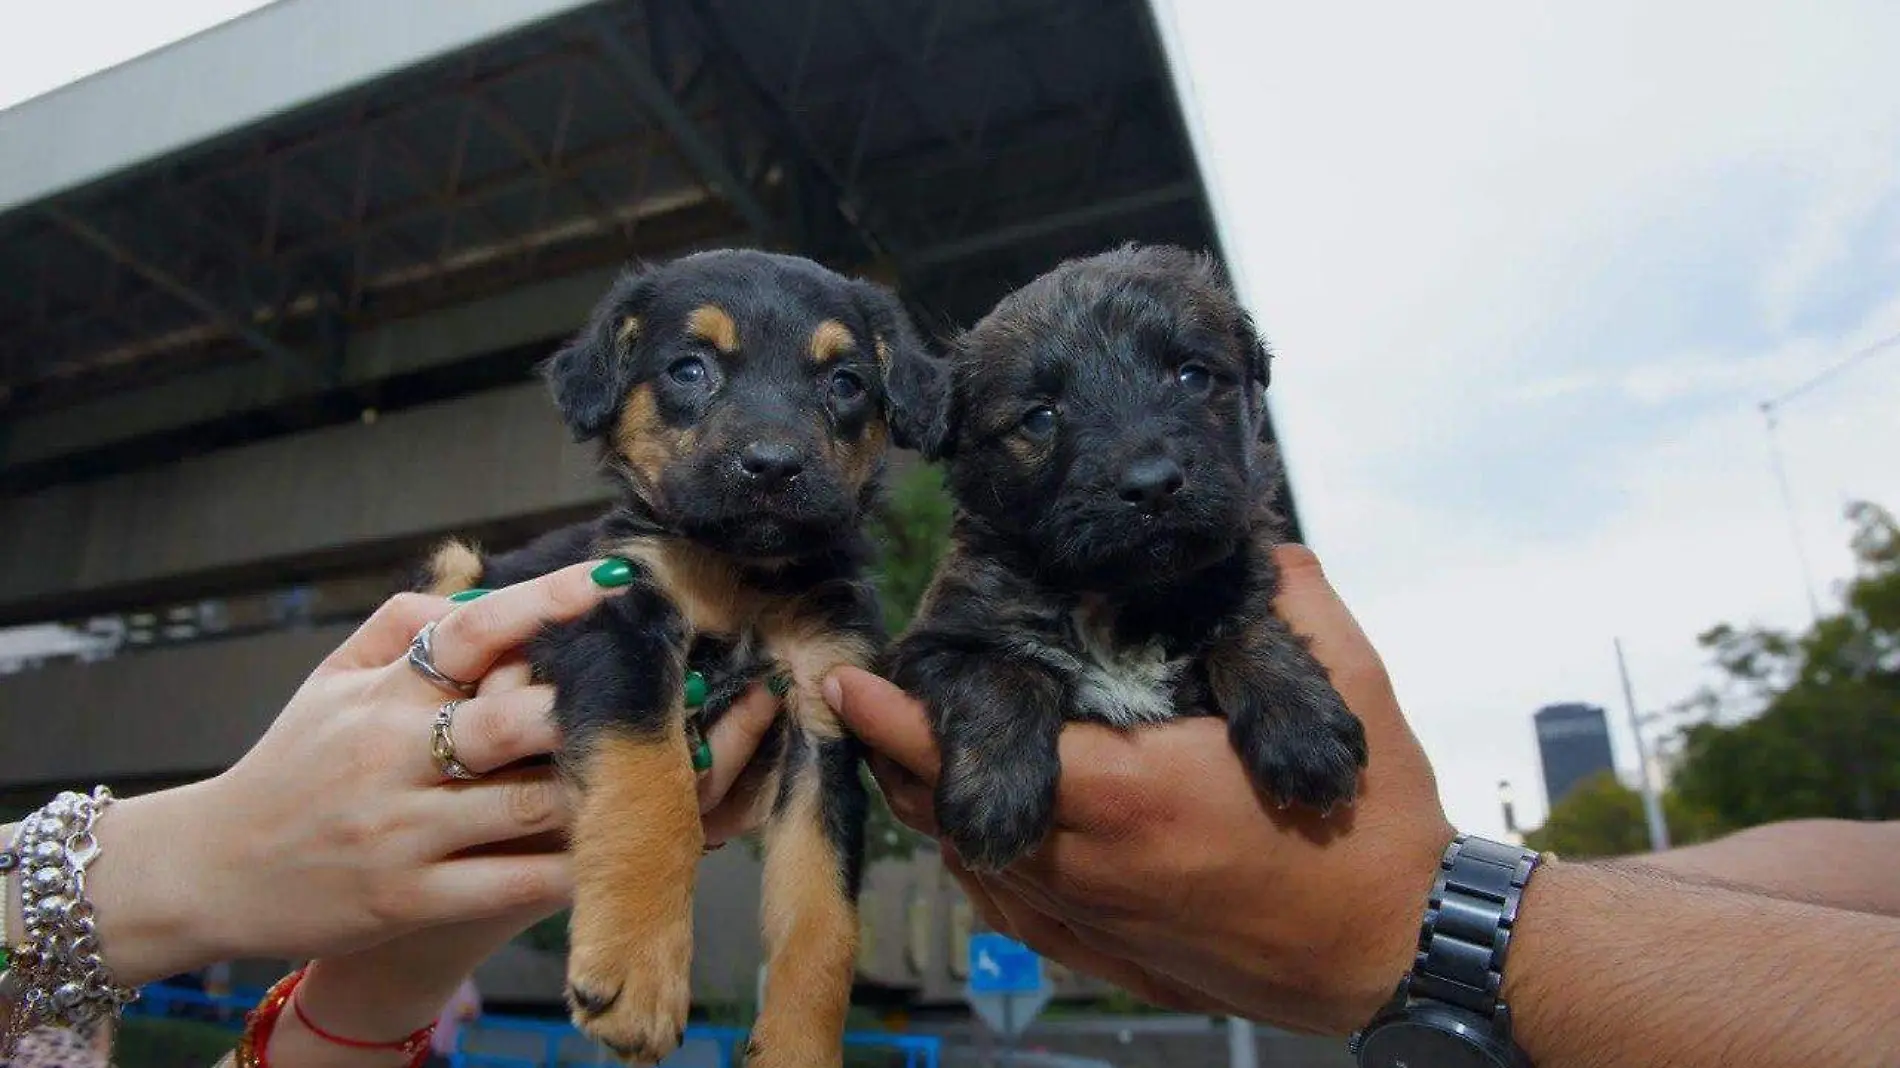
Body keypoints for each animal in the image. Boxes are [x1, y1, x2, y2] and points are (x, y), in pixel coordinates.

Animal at [427, 247, 938, 1064]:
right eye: (689, 369)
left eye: (846, 382)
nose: (773, 465)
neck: (743, 576)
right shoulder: (620, 628)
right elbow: (651, 790)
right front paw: (638, 971)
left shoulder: (823, 717)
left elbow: (823, 917)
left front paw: (798, 1047)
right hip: (456, 568)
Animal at [885, 245, 1368, 870]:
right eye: (1040, 416)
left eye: (1192, 375)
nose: (1153, 485)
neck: (1122, 596)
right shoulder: (932, 644)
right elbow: (998, 671)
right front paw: (995, 795)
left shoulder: (1241, 581)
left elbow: (1248, 629)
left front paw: (1303, 725)